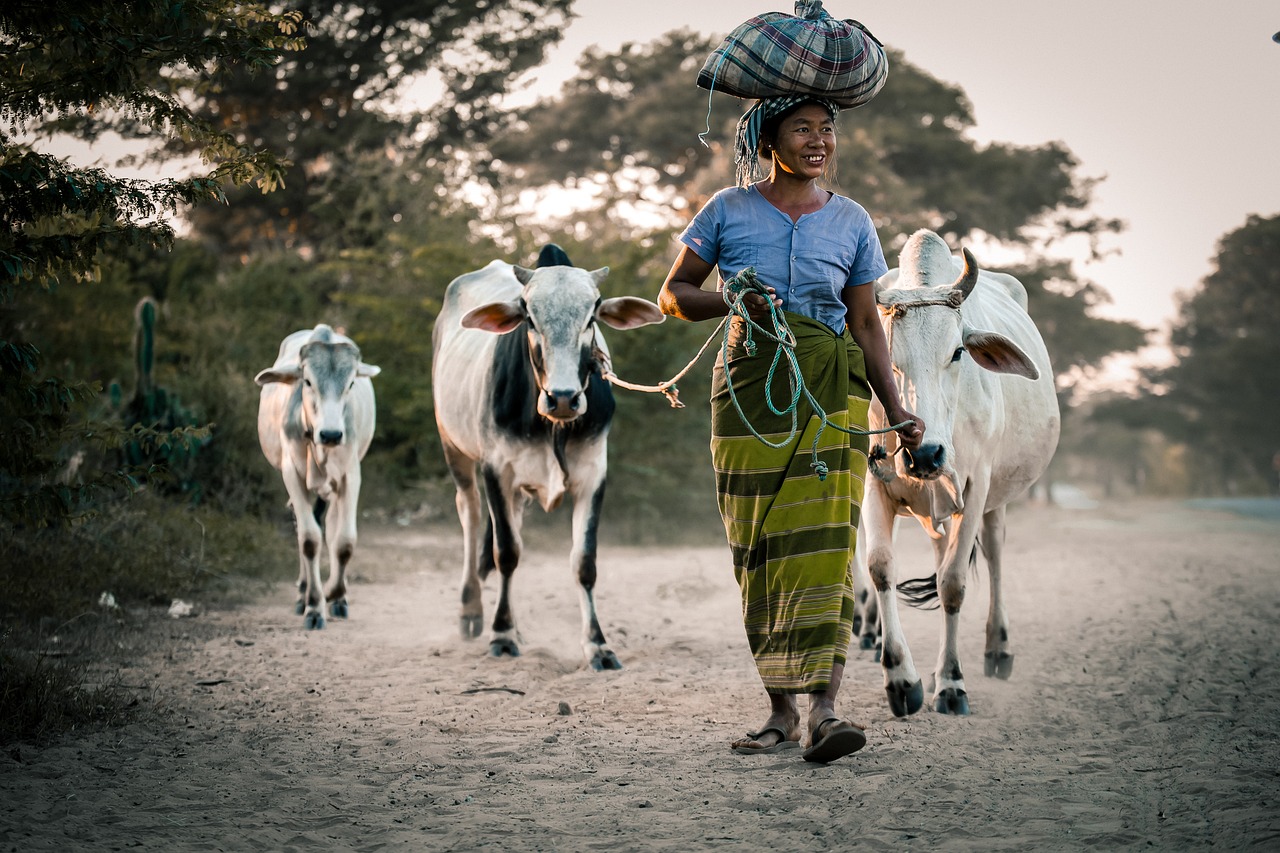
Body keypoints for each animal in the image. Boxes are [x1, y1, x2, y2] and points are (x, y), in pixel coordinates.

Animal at [254, 322, 378, 627]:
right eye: (308, 382)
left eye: (351, 384)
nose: (331, 434)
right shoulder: (291, 473)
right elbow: (309, 539)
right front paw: (313, 605)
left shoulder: (350, 474)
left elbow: (344, 541)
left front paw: (336, 594)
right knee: (305, 526)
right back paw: (302, 592)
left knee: (331, 526)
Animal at [435, 242, 665, 666]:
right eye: (528, 316)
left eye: (592, 315)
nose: (563, 398)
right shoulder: (497, 470)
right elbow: (506, 553)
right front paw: (501, 635)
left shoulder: (593, 474)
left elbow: (583, 562)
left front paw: (597, 644)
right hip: (453, 446)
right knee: (471, 517)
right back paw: (473, 612)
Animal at [860, 229, 1059, 712]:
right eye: (887, 358)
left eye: (957, 353)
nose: (925, 454)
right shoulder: (874, 482)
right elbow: (880, 567)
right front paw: (902, 679)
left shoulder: (976, 485)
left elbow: (953, 584)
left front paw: (951, 682)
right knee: (939, 549)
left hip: (995, 497)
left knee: (994, 552)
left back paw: (997, 649)